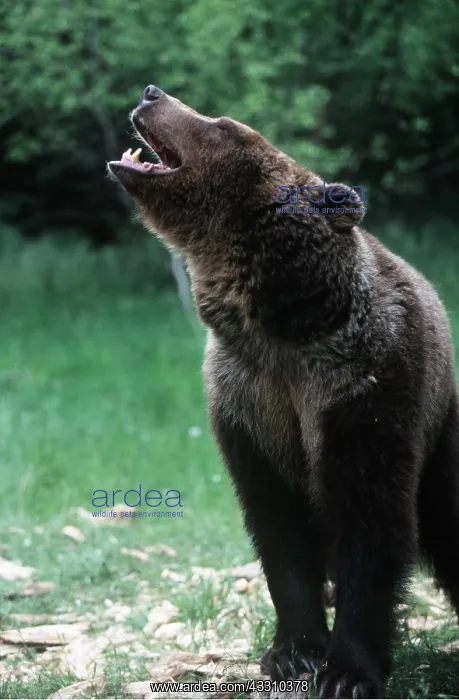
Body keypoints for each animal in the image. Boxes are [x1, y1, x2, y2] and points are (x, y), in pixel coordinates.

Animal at [109, 85, 459, 699]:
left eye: (223, 124)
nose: (152, 92)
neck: (283, 326)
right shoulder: (250, 399)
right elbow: (278, 527)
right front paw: (293, 652)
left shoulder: (363, 387)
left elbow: (370, 523)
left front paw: (349, 669)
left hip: (442, 432)